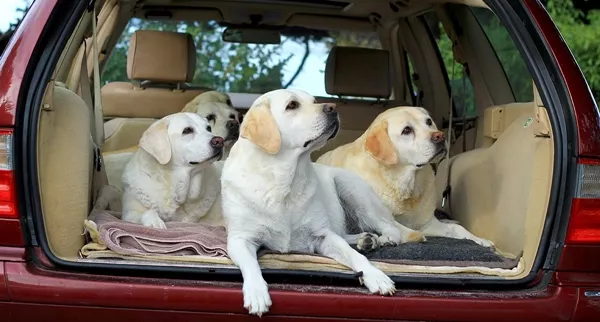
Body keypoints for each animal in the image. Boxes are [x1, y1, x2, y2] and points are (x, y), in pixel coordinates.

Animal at [220, 89, 422, 316]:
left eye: (314, 100)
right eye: (292, 105)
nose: (333, 107)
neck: (283, 180)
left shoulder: (323, 235)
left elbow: (356, 257)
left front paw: (376, 276)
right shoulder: (239, 240)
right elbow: (251, 265)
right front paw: (256, 292)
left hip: (352, 190)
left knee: (389, 227)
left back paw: (384, 239)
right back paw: (367, 239)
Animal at [316, 107, 494, 248]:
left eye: (429, 122)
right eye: (407, 130)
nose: (440, 136)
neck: (403, 186)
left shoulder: (427, 224)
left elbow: (457, 228)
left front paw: (479, 239)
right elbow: (397, 226)